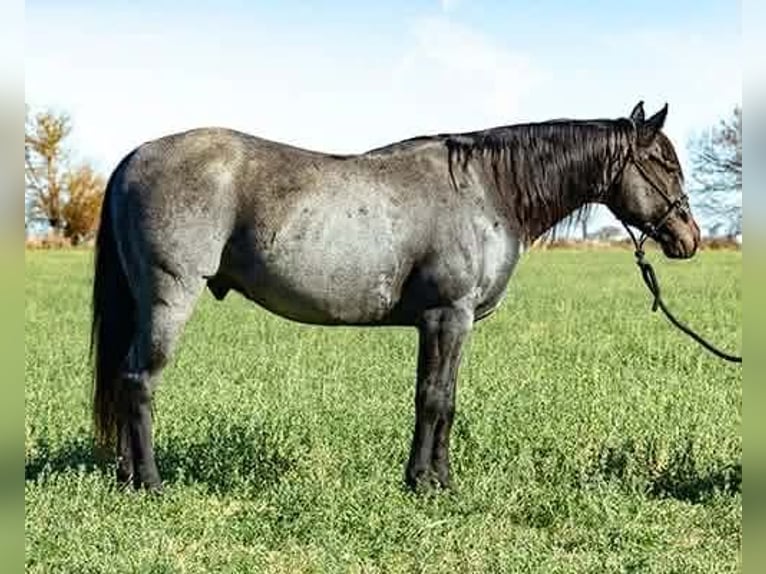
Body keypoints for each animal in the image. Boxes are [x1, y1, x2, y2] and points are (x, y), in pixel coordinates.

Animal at [91, 101, 700, 491]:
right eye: (665, 162)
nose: (689, 237)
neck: (487, 190)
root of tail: (135, 156)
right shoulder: (446, 317)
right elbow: (431, 399)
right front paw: (423, 484)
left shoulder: (450, 324)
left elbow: (446, 399)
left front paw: (441, 480)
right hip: (169, 300)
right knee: (139, 381)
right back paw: (150, 482)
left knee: (123, 380)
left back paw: (125, 477)